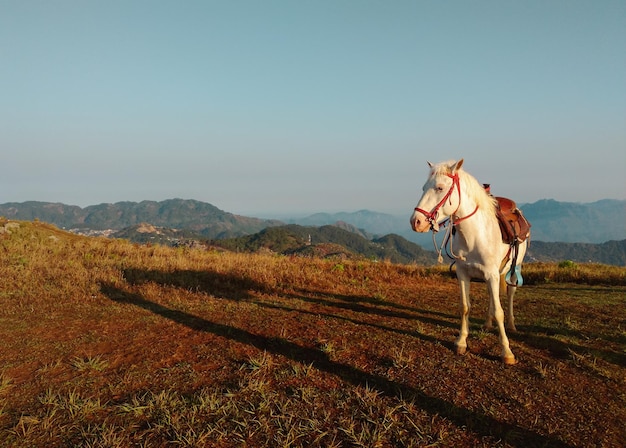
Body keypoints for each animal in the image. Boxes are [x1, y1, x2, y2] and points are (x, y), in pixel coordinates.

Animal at [410, 160, 528, 364]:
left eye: (440, 188)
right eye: (423, 188)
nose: (416, 222)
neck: (474, 236)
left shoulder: (491, 274)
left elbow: (499, 312)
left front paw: (506, 352)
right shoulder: (463, 274)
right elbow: (465, 307)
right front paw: (461, 342)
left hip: (513, 269)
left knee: (510, 293)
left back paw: (512, 325)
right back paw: (487, 323)